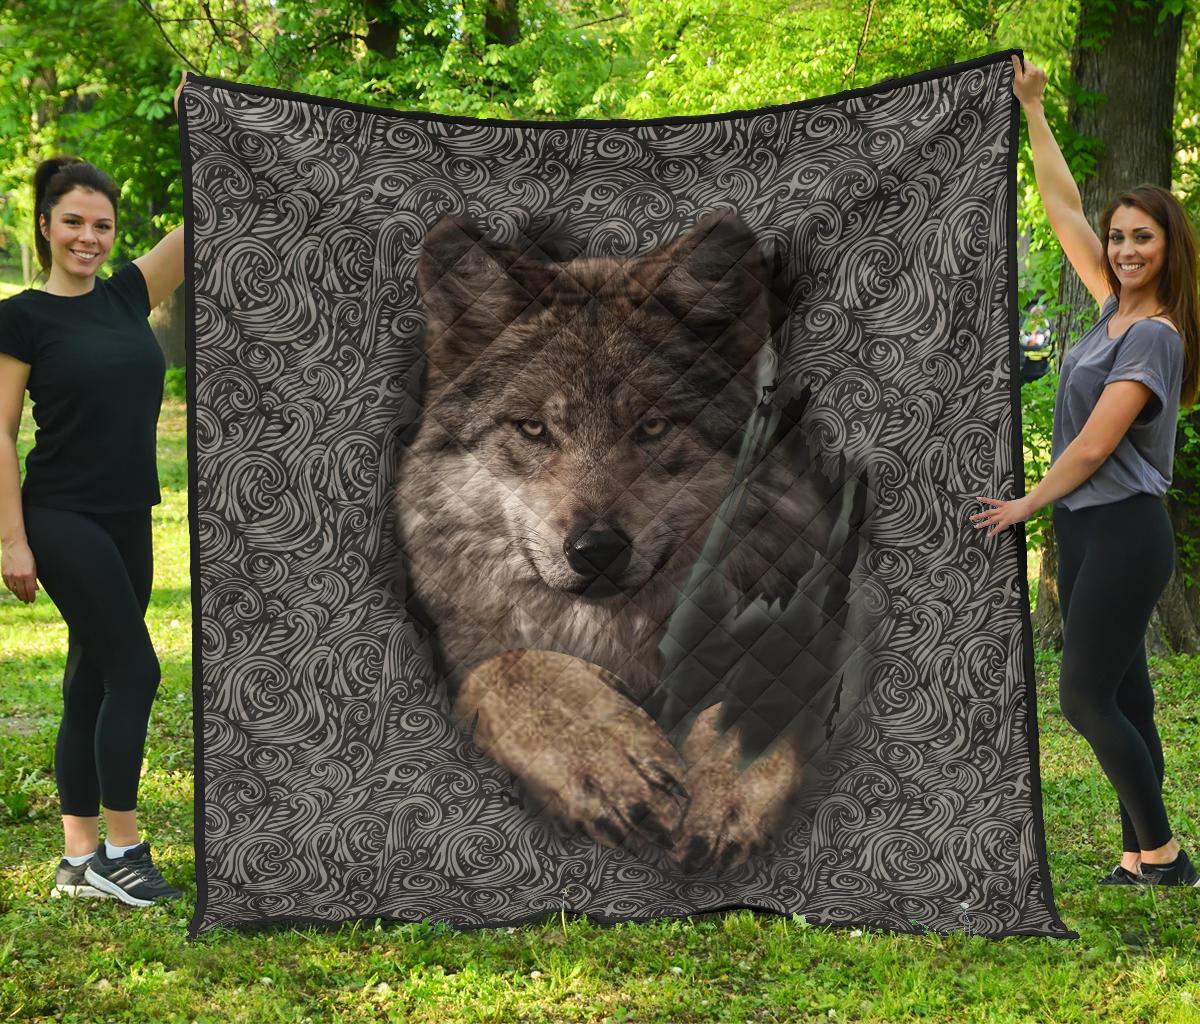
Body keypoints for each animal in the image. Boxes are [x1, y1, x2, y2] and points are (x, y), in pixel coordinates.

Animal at [395, 209, 871, 872]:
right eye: (533, 428)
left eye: (652, 426)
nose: (596, 549)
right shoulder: (460, 642)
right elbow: (512, 661)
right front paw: (606, 760)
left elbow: (771, 675)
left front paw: (726, 789)